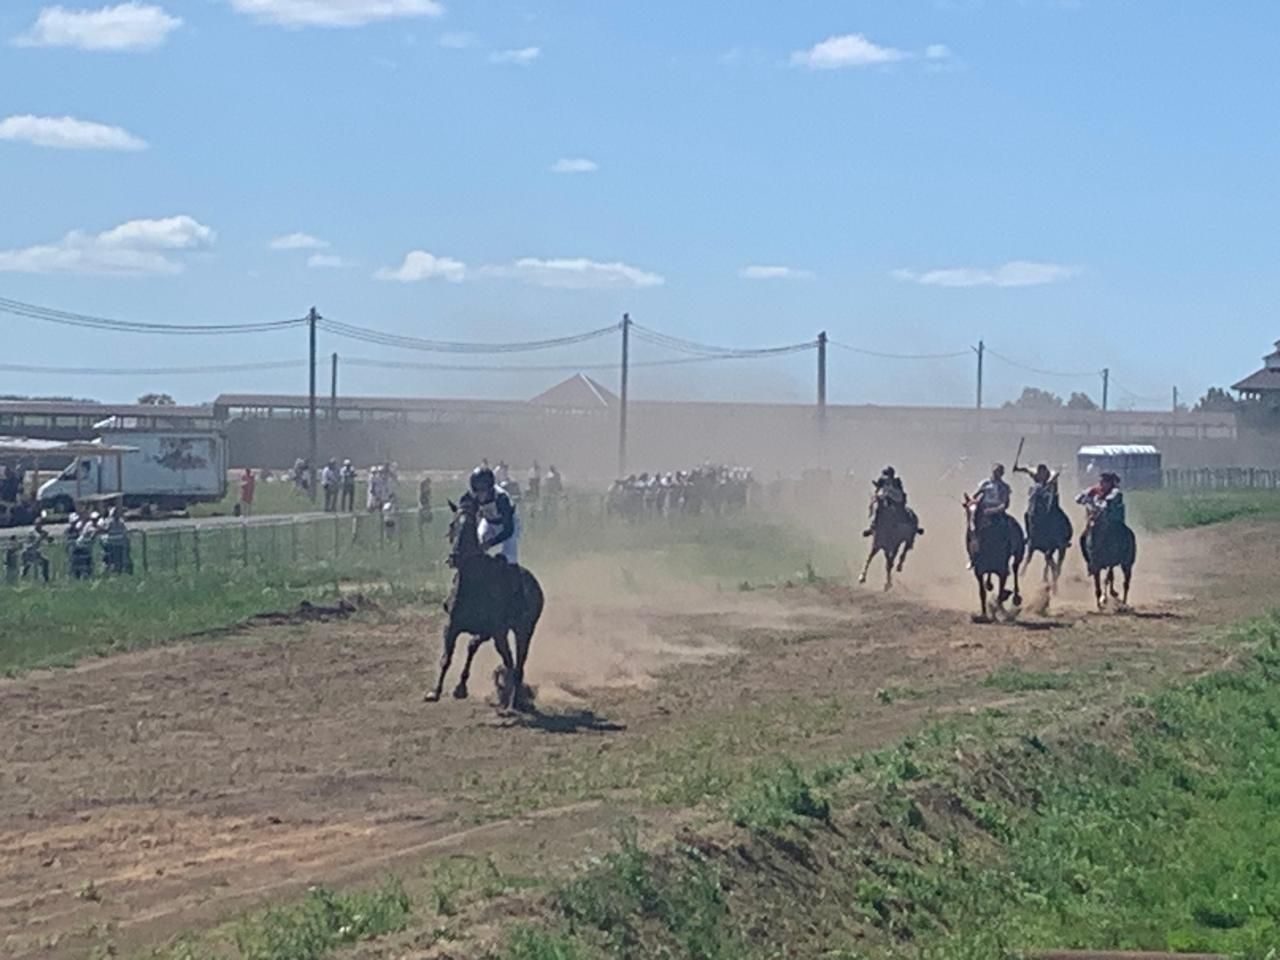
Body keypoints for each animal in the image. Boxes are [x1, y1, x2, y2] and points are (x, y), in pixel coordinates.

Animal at [424, 496, 545, 716]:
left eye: (470, 526)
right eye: (452, 524)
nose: (454, 557)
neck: (473, 582)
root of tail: (536, 584)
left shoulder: (497, 631)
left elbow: (509, 662)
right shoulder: (453, 625)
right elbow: (447, 657)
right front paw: (436, 692)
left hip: (523, 630)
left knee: (517, 665)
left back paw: (512, 703)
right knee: (483, 650)